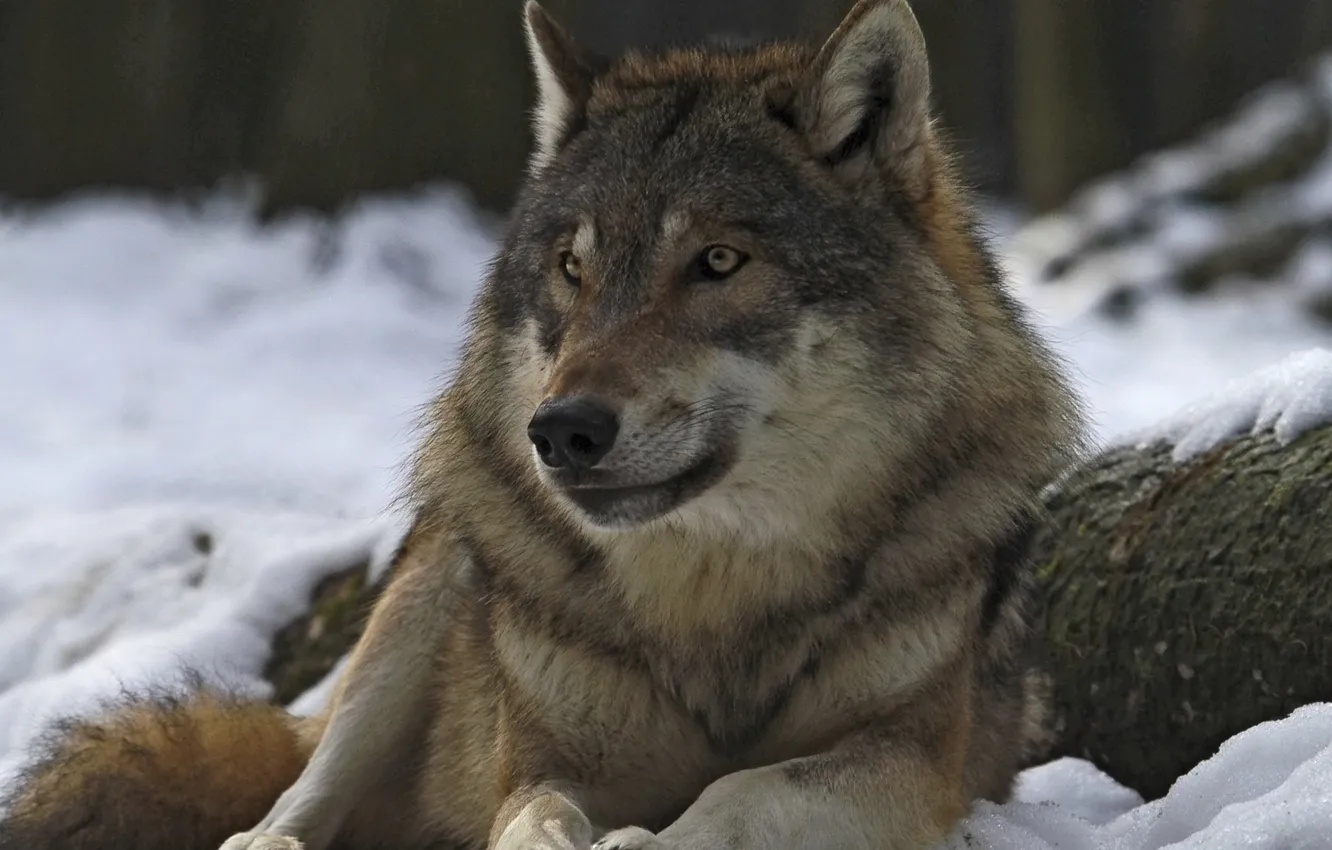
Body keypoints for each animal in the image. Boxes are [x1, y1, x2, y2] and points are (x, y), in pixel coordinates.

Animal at [0, 1, 1085, 849]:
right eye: (573, 266)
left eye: (718, 262)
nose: (561, 430)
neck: (714, 605)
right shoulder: (539, 759)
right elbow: (536, 815)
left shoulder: (912, 761)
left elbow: (741, 792)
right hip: (432, 588)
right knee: (287, 804)